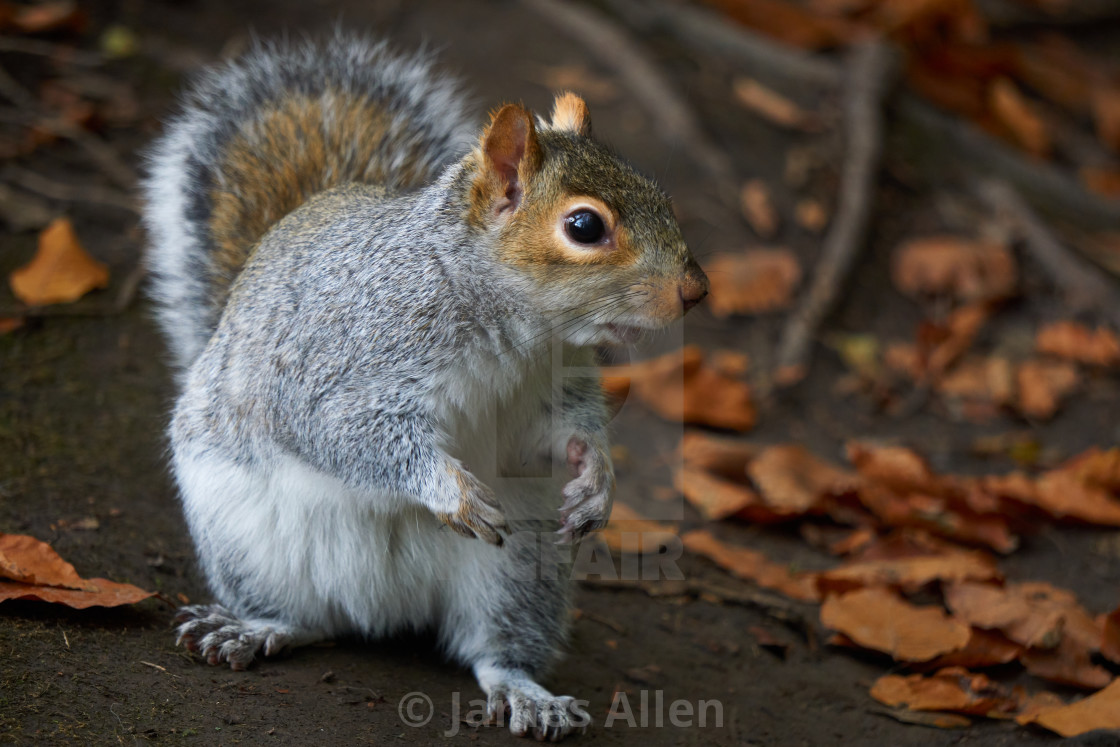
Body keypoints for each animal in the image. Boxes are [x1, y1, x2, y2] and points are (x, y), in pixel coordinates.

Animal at [142, 34, 707, 743]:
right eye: (585, 227)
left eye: (662, 195)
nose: (696, 290)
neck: (519, 331)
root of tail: (385, 608)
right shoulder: (342, 366)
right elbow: (344, 432)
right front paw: (453, 492)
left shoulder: (561, 383)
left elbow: (573, 429)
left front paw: (596, 482)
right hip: (247, 541)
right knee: (306, 618)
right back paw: (251, 628)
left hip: (522, 572)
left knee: (492, 649)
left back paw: (525, 692)